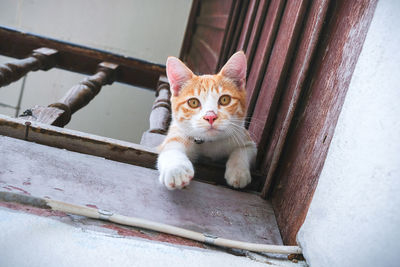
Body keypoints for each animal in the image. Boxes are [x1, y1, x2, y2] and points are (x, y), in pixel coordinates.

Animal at [157, 51, 256, 191]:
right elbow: (170, 148)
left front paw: (238, 171)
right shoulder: (176, 131)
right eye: (193, 102)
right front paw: (176, 169)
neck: (211, 143)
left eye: (224, 99)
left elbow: (244, 149)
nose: (210, 116)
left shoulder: (245, 138)